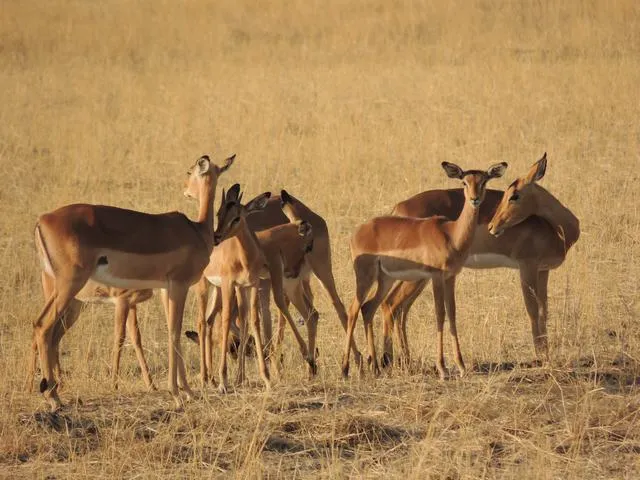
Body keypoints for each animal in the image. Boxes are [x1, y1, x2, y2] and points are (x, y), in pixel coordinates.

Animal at [32, 153, 233, 411]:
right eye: (190, 172)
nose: (186, 190)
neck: (196, 231)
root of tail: (43, 220)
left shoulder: (166, 288)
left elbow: (173, 332)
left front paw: (187, 391)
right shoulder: (179, 285)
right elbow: (174, 333)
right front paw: (177, 394)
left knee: (44, 329)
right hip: (69, 285)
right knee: (43, 326)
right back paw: (53, 398)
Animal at [342, 162, 508, 379]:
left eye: (484, 181)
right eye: (464, 181)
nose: (474, 199)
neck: (451, 234)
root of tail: (358, 231)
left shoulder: (450, 277)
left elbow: (452, 313)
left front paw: (461, 366)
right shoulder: (436, 277)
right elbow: (440, 314)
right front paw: (442, 368)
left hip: (385, 279)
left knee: (369, 308)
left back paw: (376, 368)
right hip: (366, 277)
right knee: (354, 309)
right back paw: (345, 369)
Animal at [379, 154, 579, 368]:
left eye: (514, 195)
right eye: (507, 194)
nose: (493, 226)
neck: (556, 229)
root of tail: (398, 208)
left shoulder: (543, 271)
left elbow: (544, 310)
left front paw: (546, 355)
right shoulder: (527, 267)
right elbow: (533, 310)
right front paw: (541, 357)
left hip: (419, 276)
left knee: (400, 308)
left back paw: (406, 360)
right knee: (391, 304)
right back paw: (389, 361)